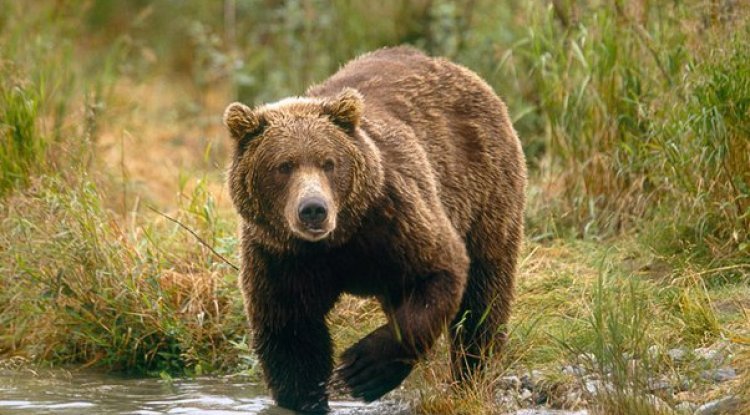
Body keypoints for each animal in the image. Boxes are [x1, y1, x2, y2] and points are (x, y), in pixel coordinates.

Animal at [223, 46, 526, 413]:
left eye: (328, 162)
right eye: (283, 166)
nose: (313, 210)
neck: (336, 242)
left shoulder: (392, 219)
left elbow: (441, 270)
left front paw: (363, 368)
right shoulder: (280, 255)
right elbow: (292, 336)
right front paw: (308, 396)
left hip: (485, 189)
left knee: (484, 297)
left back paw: (471, 373)